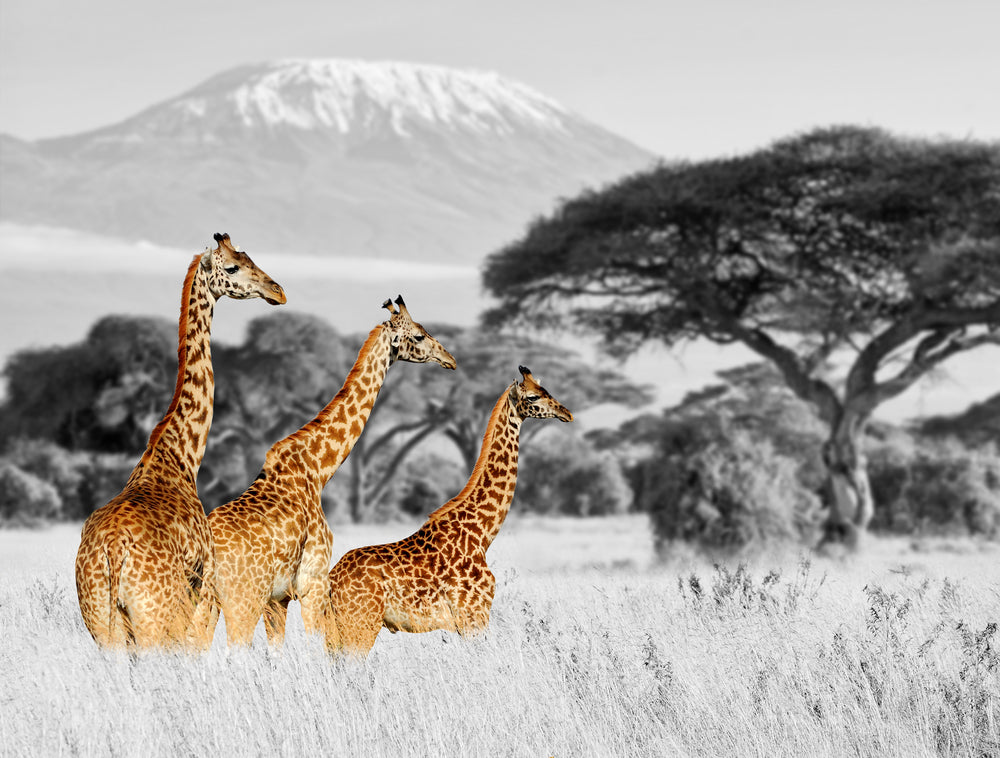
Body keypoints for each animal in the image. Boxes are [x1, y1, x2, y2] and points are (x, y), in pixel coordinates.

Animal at [73, 235, 286, 652]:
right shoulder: (199, 585)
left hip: (102, 624)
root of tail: (113, 551)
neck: (181, 456)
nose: (278, 291)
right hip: (153, 618)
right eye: (233, 267)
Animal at [199, 296, 458, 648]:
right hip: (243, 600)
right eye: (418, 335)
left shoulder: (278, 598)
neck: (318, 470)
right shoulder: (313, 583)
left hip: (205, 600)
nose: (450, 359)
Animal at [328, 368, 576, 660]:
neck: (482, 533)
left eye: (545, 388)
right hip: (359, 626)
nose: (566, 412)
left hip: (339, 633)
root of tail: (331, 581)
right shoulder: (473, 616)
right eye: (534, 396)